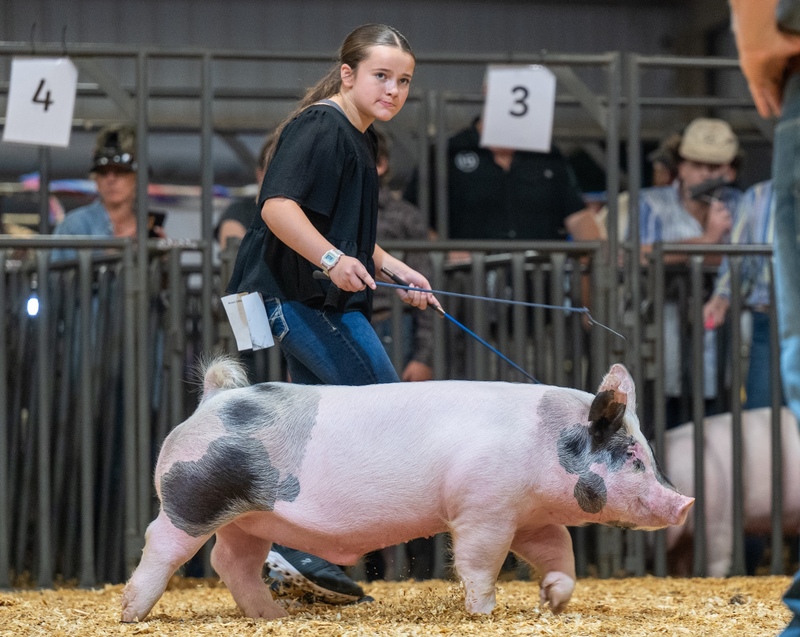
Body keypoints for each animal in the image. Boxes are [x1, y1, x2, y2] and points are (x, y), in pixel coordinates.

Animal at [121, 359, 693, 622]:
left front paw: (552, 600)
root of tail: (215, 400)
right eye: (633, 457)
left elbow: (560, 551)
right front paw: (483, 612)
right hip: (195, 495)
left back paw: (273, 617)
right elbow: (480, 560)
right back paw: (131, 613)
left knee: (231, 561)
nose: (685, 502)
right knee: (162, 543)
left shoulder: (529, 515)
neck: (543, 443)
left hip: (252, 516)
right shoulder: (482, 508)